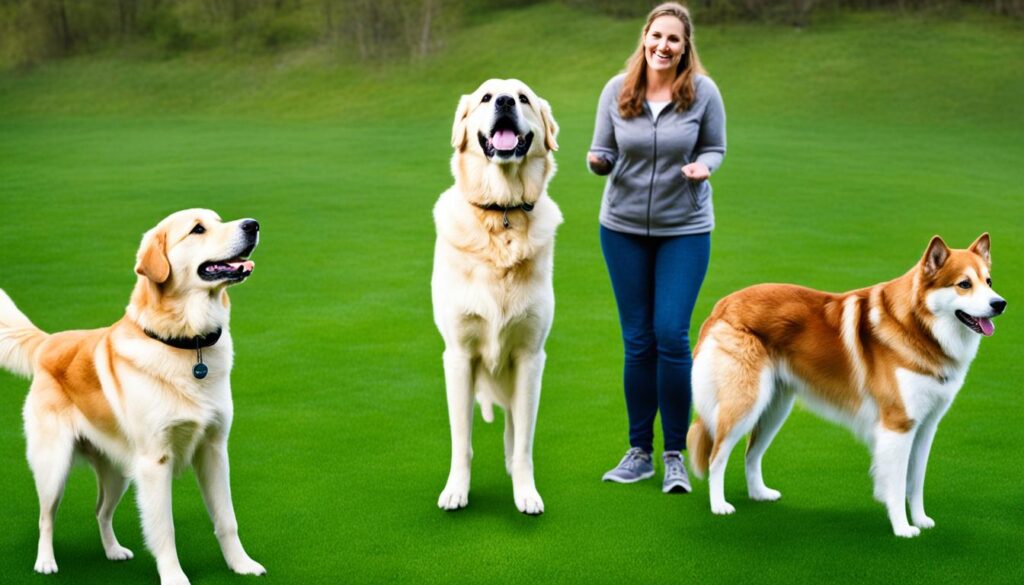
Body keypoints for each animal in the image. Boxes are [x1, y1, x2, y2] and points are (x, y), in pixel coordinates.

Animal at [430, 79, 565, 514]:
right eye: (487, 97)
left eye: (523, 98)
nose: (505, 102)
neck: (501, 213)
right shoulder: (458, 356)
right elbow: (462, 442)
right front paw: (456, 490)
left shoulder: (529, 358)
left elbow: (523, 440)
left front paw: (526, 492)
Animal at [688, 235, 1007, 536]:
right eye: (964, 284)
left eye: (988, 282)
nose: (1000, 304)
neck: (919, 327)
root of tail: (723, 305)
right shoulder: (898, 426)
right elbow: (896, 483)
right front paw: (903, 528)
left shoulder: (925, 427)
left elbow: (916, 481)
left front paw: (920, 520)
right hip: (745, 403)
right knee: (717, 456)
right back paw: (719, 506)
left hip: (775, 407)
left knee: (751, 453)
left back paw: (759, 494)